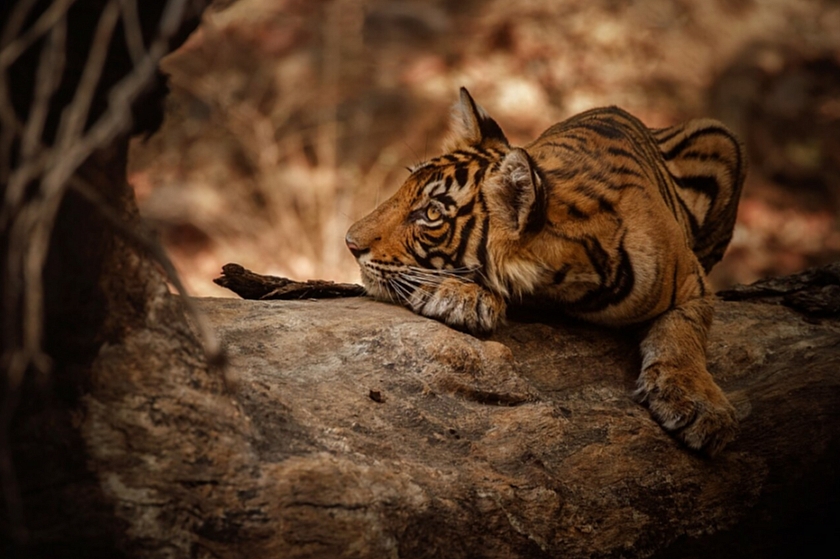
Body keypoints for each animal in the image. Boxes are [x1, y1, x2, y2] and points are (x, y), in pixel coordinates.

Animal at [345, 87, 746, 456]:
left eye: (431, 214)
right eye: (404, 186)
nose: (350, 242)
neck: (561, 285)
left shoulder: (693, 285)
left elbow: (683, 335)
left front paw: (701, 407)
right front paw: (459, 297)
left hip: (720, 138)